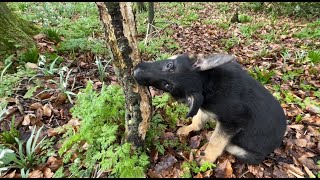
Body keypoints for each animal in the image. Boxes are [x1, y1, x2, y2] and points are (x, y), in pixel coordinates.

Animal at [132, 53, 288, 165]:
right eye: (169, 64)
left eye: (167, 85)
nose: (136, 73)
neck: (207, 83)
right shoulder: (205, 108)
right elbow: (198, 119)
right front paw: (189, 128)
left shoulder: (231, 123)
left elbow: (216, 141)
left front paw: (207, 158)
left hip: (248, 152)